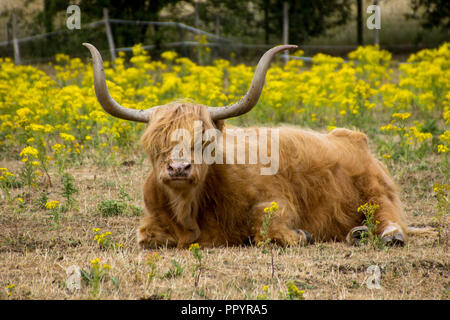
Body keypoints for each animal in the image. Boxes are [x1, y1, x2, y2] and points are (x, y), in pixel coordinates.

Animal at [83, 43, 412, 248]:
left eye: (204, 140)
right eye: (155, 143)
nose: (178, 168)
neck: (190, 209)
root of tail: (352, 136)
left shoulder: (277, 201)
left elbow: (265, 228)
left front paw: (303, 235)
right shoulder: (150, 225)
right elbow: (150, 237)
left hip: (375, 189)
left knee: (388, 215)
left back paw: (387, 236)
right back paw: (357, 233)